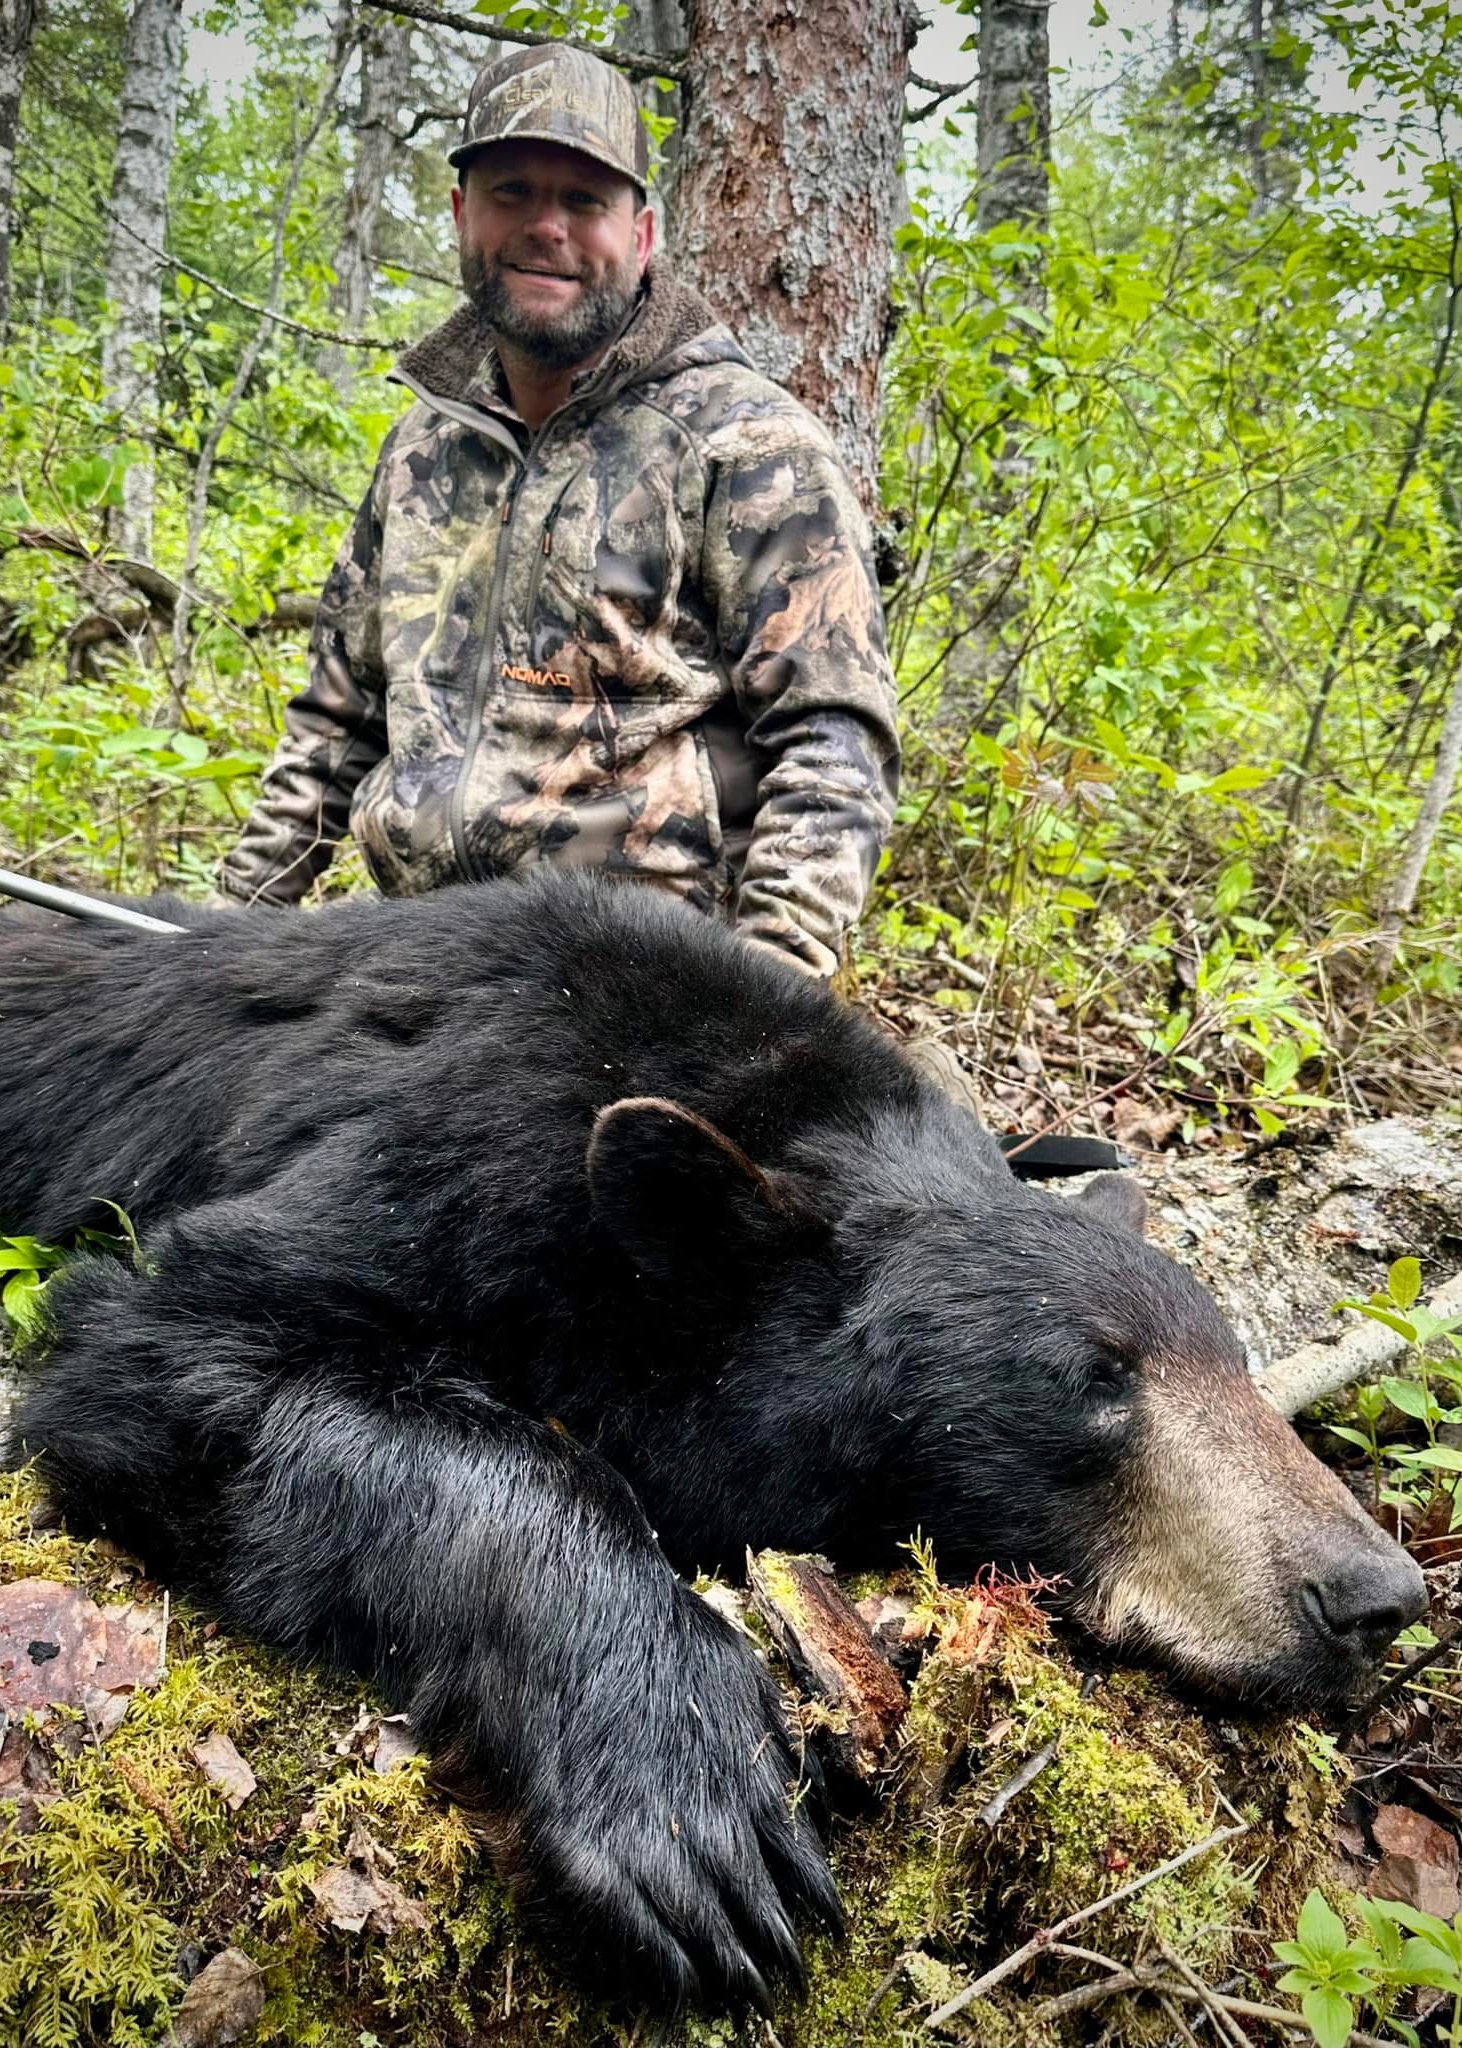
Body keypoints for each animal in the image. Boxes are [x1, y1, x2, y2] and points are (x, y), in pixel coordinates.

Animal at [0, 871, 1425, 2014]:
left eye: (1233, 1360)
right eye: (1091, 1379)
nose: (1375, 1593)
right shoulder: (431, 1156)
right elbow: (174, 1356)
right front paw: (691, 1806)